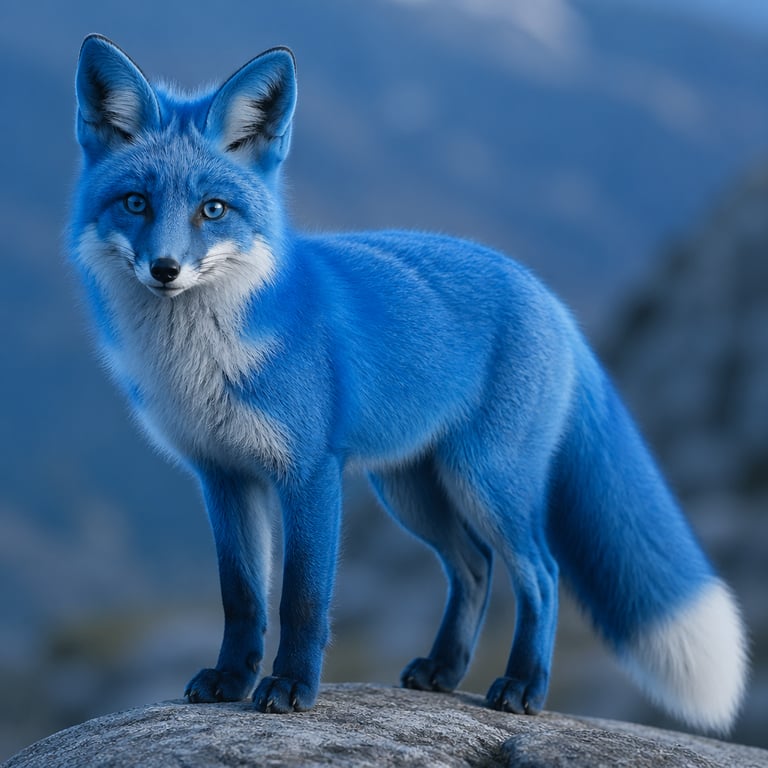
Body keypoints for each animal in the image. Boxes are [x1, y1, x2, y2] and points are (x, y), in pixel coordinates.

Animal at [70, 34, 747, 732]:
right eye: (136, 203)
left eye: (213, 209)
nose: (165, 269)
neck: (207, 362)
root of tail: (547, 297)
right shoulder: (224, 477)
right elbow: (242, 597)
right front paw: (232, 679)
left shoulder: (311, 473)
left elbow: (302, 599)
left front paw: (291, 687)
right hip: (412, 489)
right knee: (474, 566)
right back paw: (444, 669)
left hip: (486, 480)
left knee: (541, 572)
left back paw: (523, 685)